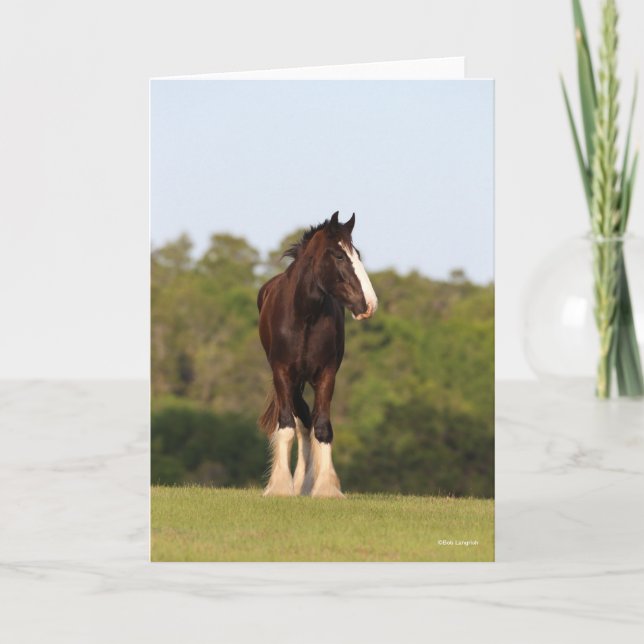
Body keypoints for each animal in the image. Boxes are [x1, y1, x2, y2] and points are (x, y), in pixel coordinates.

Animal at [257, 211, 378, 498]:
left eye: (357, 253)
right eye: (339, 255)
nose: (369, 304)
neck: (304, 316)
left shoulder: (326, 375)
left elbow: (322, 427)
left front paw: (325, 487)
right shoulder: (283, 374)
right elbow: (287, 426)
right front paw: (280, 486)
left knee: (308, 423)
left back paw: (305, 482)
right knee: (300, 422)